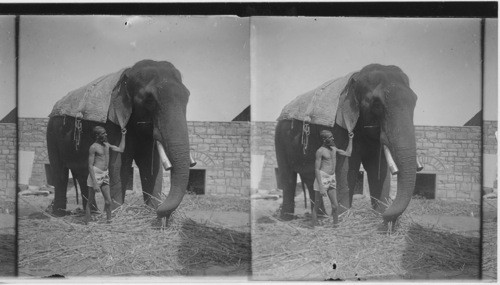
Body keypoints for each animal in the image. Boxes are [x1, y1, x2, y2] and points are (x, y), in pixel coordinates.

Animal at [47, 58, 192, 221]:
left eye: (187, 96)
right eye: (149, 99)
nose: (162, 214)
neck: (126, 77)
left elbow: (151, 166)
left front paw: (152, 212)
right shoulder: (113, 124)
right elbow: (119, 164)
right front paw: (117, 213)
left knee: (84, 173)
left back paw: (93, 213)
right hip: (51, 134)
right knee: (60, 172)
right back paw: (58, 214)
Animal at [276, 63, 420, 223]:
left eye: (415, 101)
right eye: (376, 104)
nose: (387, 215)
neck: (354, 81)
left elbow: (379, 168)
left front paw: (379, 216)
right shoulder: (339, 128)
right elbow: (347, 168)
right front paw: (343, 218)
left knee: (310, 176)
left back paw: (320, 217)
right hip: (279, 139)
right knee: (288, 176)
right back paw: (286, 219)